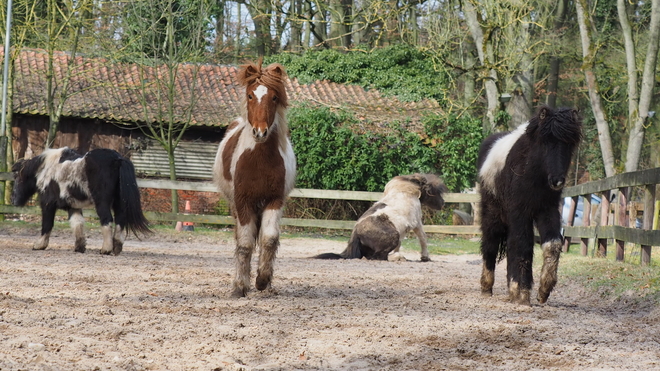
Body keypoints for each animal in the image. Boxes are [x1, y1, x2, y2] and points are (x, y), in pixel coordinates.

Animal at [11, 147, 152, 256]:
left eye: (16, 177)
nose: (13, 200)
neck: (46, 169)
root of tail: (118, 159)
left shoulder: (48, 204)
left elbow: (47, 225)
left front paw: (39, 245)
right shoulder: (73, 206)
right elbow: (77, 224)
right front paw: (80, 247)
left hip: (102, 203)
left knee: (107, 220)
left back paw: (105, 249)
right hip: (119, 202)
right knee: (120, 221)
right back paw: (116, 247)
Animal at [213, 61, 296, 300]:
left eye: (274, 97)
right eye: (250, 95)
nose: (260, 132)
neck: (259, 160)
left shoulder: (274, 200)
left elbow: (269, 239)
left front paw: (262, 280)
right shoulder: (243, 202)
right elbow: (245, 244)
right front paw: (239, 286)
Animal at [314, 174, 448, 262]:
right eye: (434, 191)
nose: (443, 203)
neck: (407, 192)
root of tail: (356, 234)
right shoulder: (417, 223)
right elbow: (423, 238)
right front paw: (425, 257)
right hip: (394, 236)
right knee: (379, 257)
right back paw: (399, 257)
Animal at [476, 105, 580, 306]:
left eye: (569, 144)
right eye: (545, 142)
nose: (557, 181)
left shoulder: (547, 210)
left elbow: (552, 244)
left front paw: (544, 289)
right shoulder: (520, 212)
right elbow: (523, 246)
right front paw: (524, 293)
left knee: (509, 245)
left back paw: (511, 289)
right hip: (492, 214)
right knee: (490, 244)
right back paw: (486, 287)